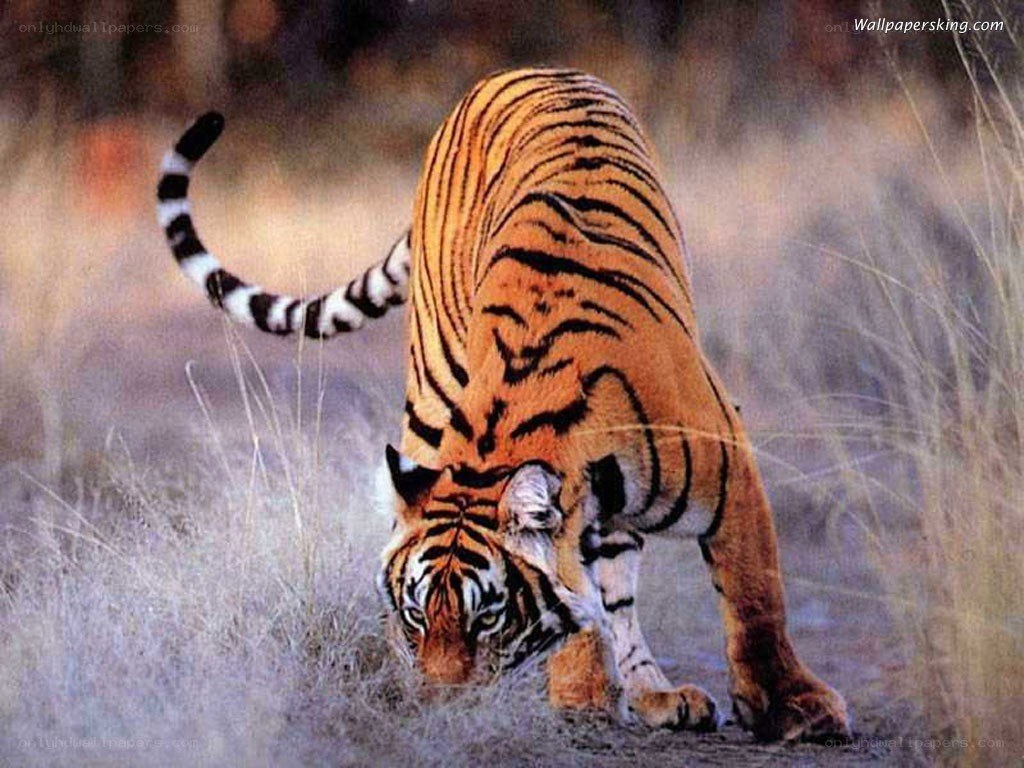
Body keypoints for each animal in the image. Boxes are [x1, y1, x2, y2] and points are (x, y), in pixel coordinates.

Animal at [157, 67, 851, 742]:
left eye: (487, 616)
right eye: (417, 614)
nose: (438, 706)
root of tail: (519, 71)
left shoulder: (729, 464)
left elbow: (754, 590)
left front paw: (795, 707)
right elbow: (589, 602)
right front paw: (583, 698)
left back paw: (652, 692)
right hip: (427, 400)